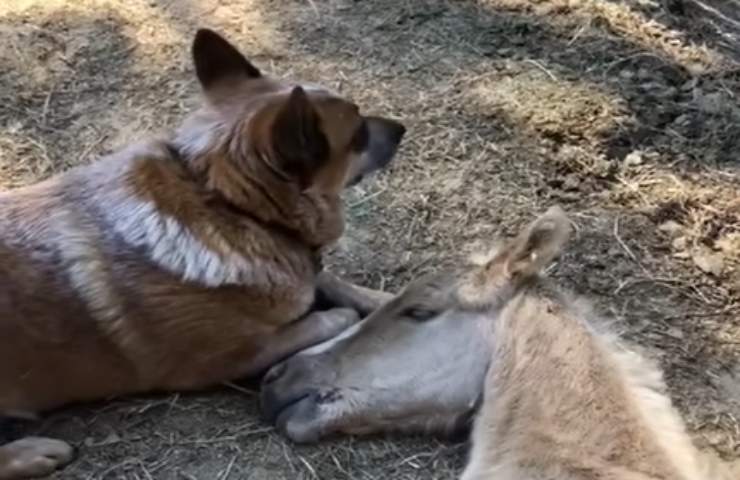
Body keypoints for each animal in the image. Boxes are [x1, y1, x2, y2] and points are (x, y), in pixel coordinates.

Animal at [0, 30, 404, 480]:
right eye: (358, 134)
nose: (402, 128)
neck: (224, 201)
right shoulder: (233, 359)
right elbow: (330, 316)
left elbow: (329, 279)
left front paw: (383, 298)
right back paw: (33, 452)